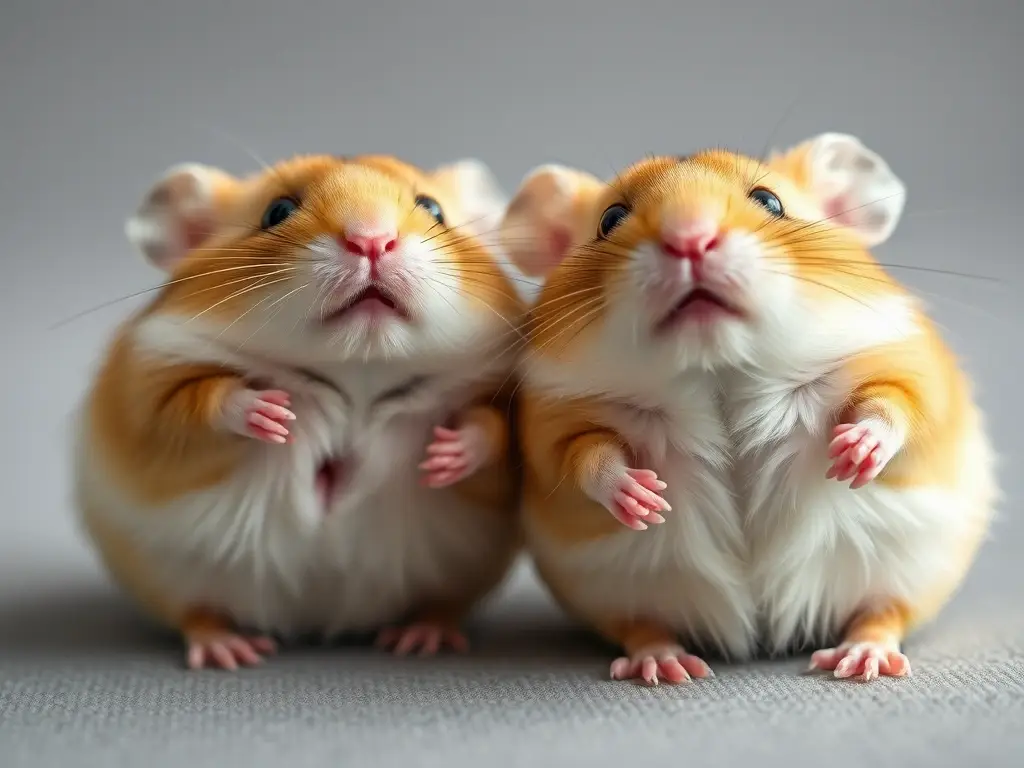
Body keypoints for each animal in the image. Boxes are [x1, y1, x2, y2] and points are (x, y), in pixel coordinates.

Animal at [73, 154, 526, 669]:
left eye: (432, 208)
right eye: (277, 211)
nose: (372, 240)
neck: (359, 373)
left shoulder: (498, 394)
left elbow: (491, 428)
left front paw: (444, 456)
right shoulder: (150, 390)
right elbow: (202, 405)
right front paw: (273, 414)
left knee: (439, 607)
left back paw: (420, 639)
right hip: (172, 581)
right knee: (198, 615)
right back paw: (231, 652)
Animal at [627, 133, 995, 681]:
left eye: (769, 202)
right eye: (611, 218)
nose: (690, 238)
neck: (724, 370)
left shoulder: (906, 368)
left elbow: (894, 404)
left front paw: (854, 453)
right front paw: (640, 495)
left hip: (901, 571)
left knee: (881, 614)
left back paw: (860, 660)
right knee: (641, 626)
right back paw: (662, 664)